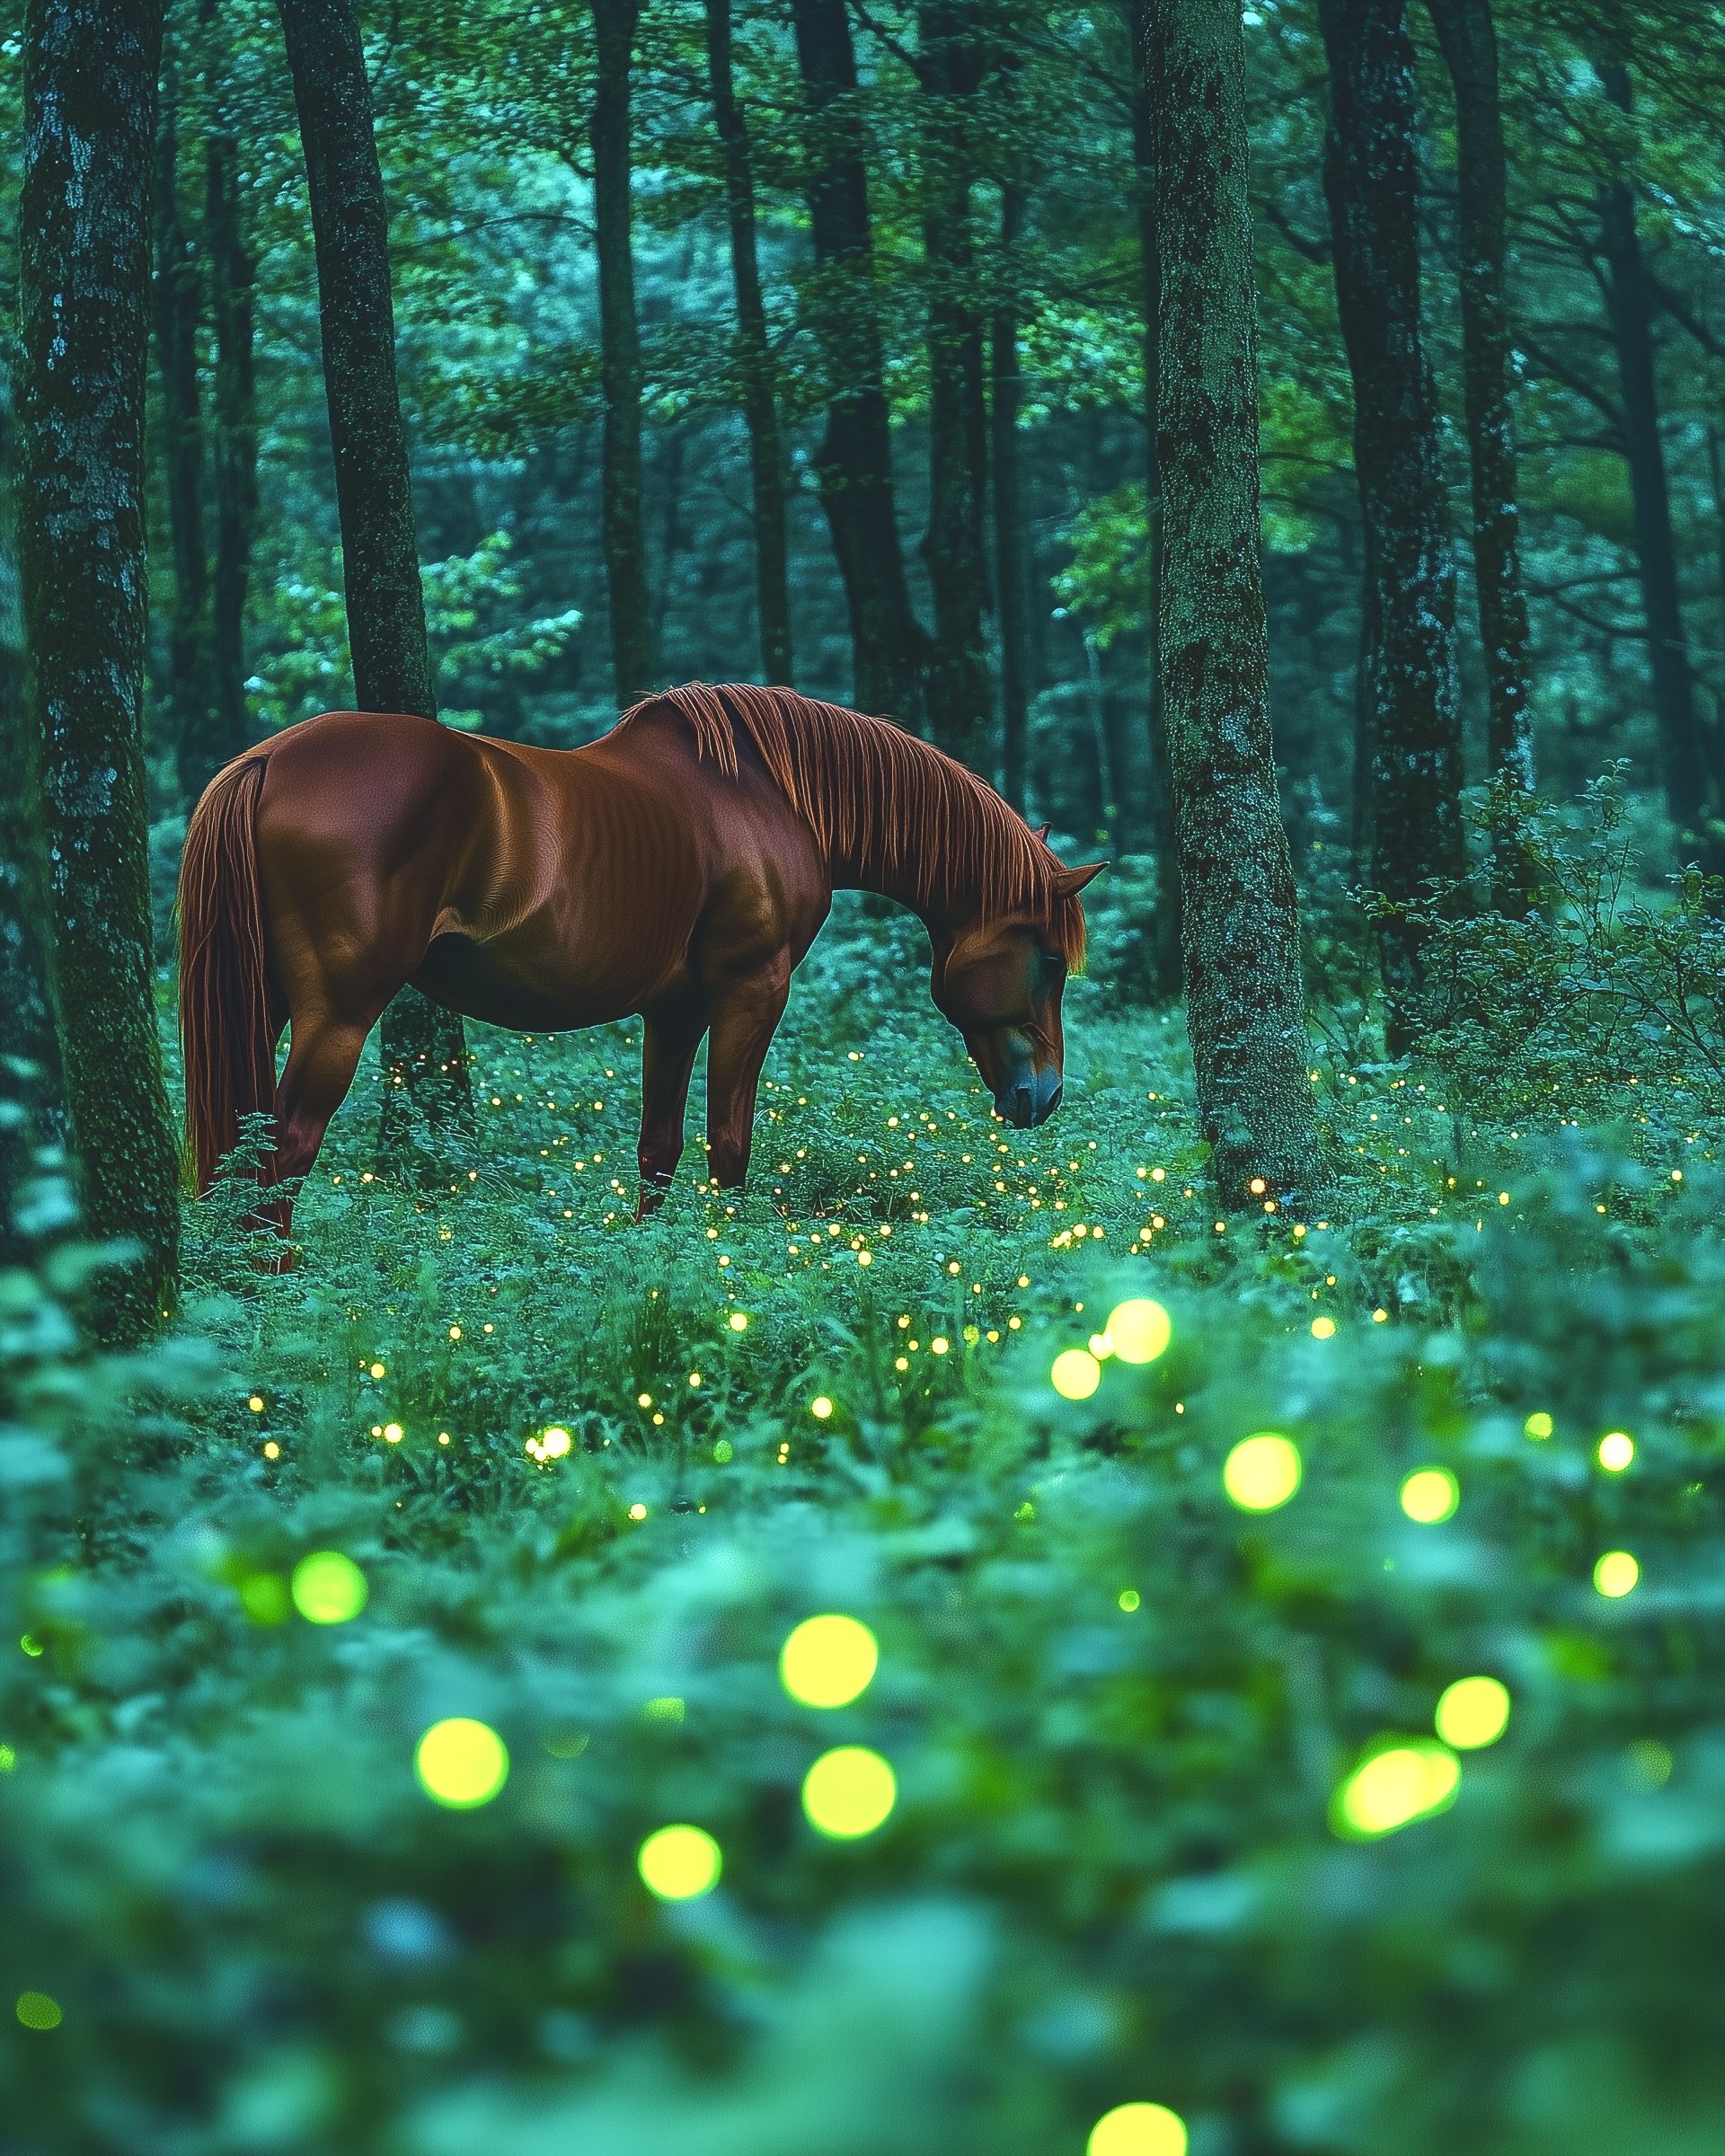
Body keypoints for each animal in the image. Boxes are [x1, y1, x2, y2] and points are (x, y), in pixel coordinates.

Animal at [177, 681, 1102, 1241]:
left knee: (241, 1150)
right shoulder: (751, 992)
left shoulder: (675, 1008)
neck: (769, 795)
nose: (1045, 1098)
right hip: (338, 1012)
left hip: (264, 1002)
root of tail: (269, 760)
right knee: (283, 1151)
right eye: (1050, 962)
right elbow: (729, 1142)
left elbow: (658, 1148)